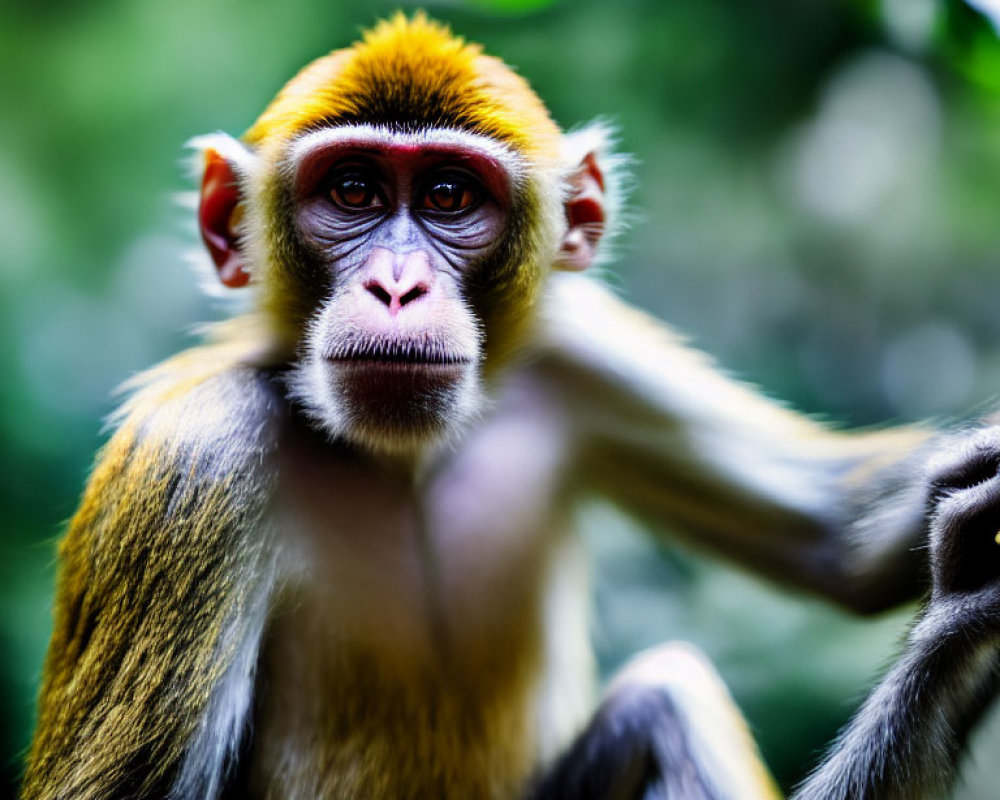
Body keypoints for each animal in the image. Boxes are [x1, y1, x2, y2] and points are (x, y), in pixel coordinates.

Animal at [19, 12, 980, 800]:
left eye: (449, 195)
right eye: (353, 192)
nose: (397, 287)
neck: (401, 457)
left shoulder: (578, 351)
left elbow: (836, 540)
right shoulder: (198, 456)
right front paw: (952, 626)